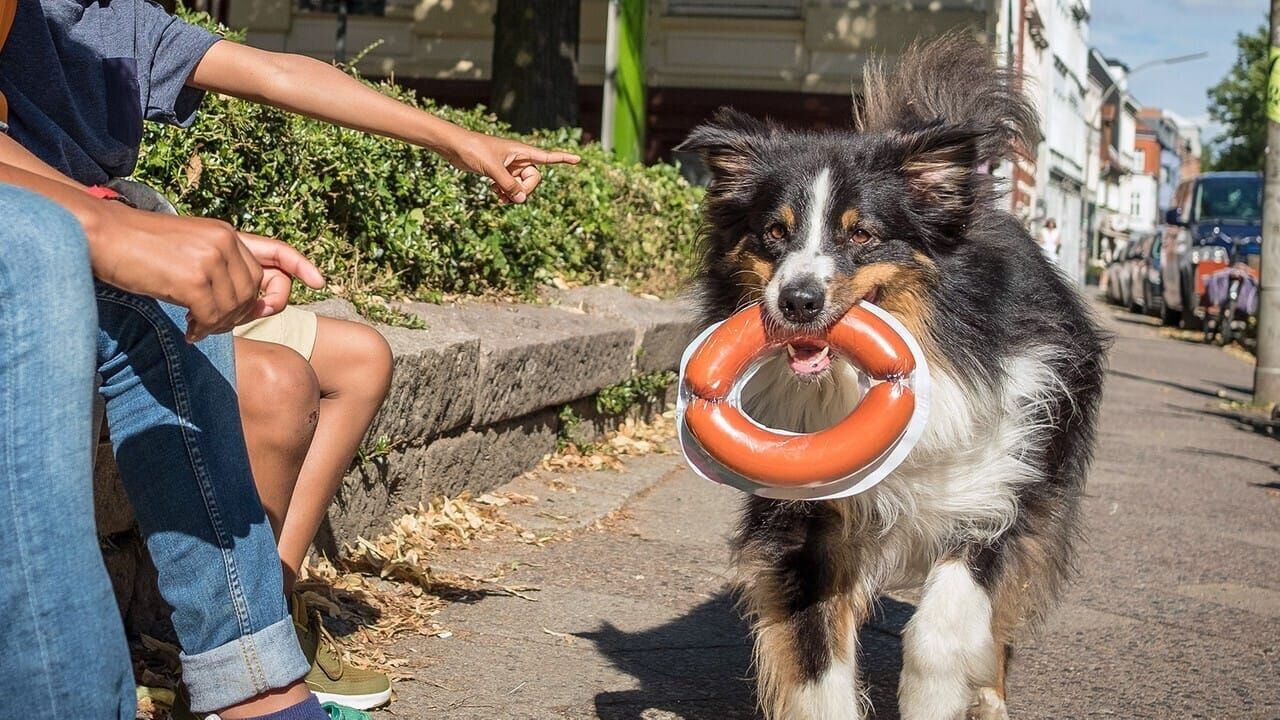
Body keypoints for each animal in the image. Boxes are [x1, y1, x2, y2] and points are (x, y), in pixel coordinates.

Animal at [680, 33, 1111, 717]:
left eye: (863, 234)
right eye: (773, 232)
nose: (797, 301)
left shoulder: (998, 492)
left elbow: (943, 629)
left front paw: (938, 696)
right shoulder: (806, 523)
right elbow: (815, 655)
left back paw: (990, 697)